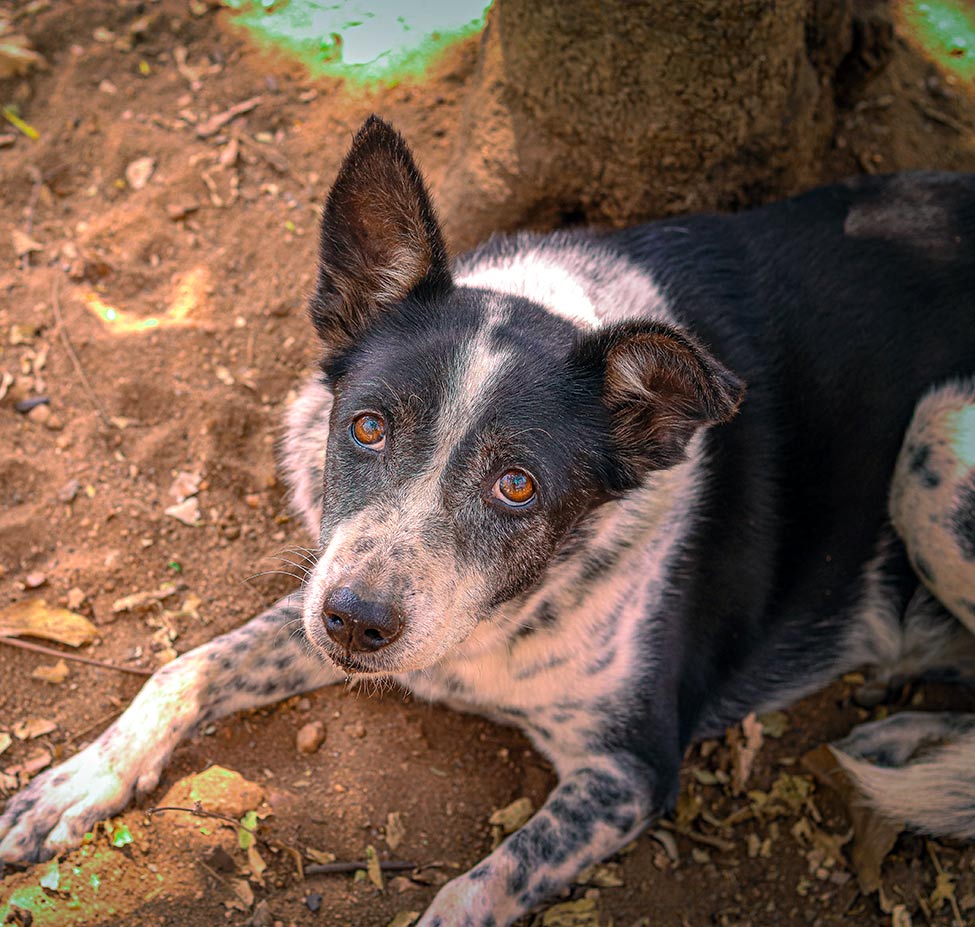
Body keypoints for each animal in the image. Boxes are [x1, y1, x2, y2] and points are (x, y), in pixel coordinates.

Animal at [2, 116, 975, 926]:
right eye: (367, 426)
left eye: (516, 485)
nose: (357, 622)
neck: (498, 619)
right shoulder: (323, 588)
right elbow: (191, 665)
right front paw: (79, 783)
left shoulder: (630, 767)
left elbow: (479, 887)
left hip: (937, 435)